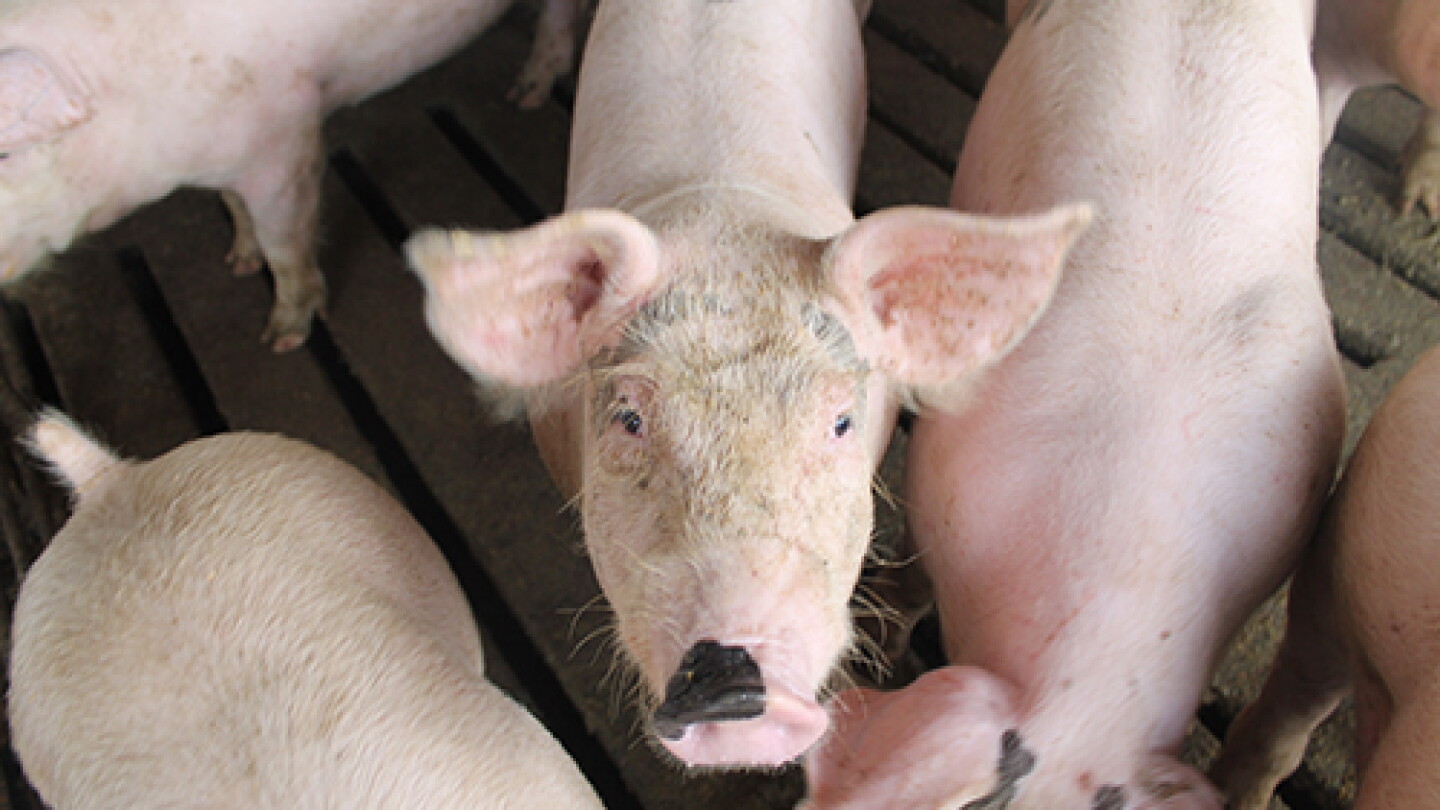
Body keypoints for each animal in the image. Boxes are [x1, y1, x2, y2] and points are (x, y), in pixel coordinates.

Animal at [0, 0, 584, 352]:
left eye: (5, 153)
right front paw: (238, 263)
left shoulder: (284, 144)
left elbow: (285, 243)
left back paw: (526, 95)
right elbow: (232, 205)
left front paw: (281, 339)